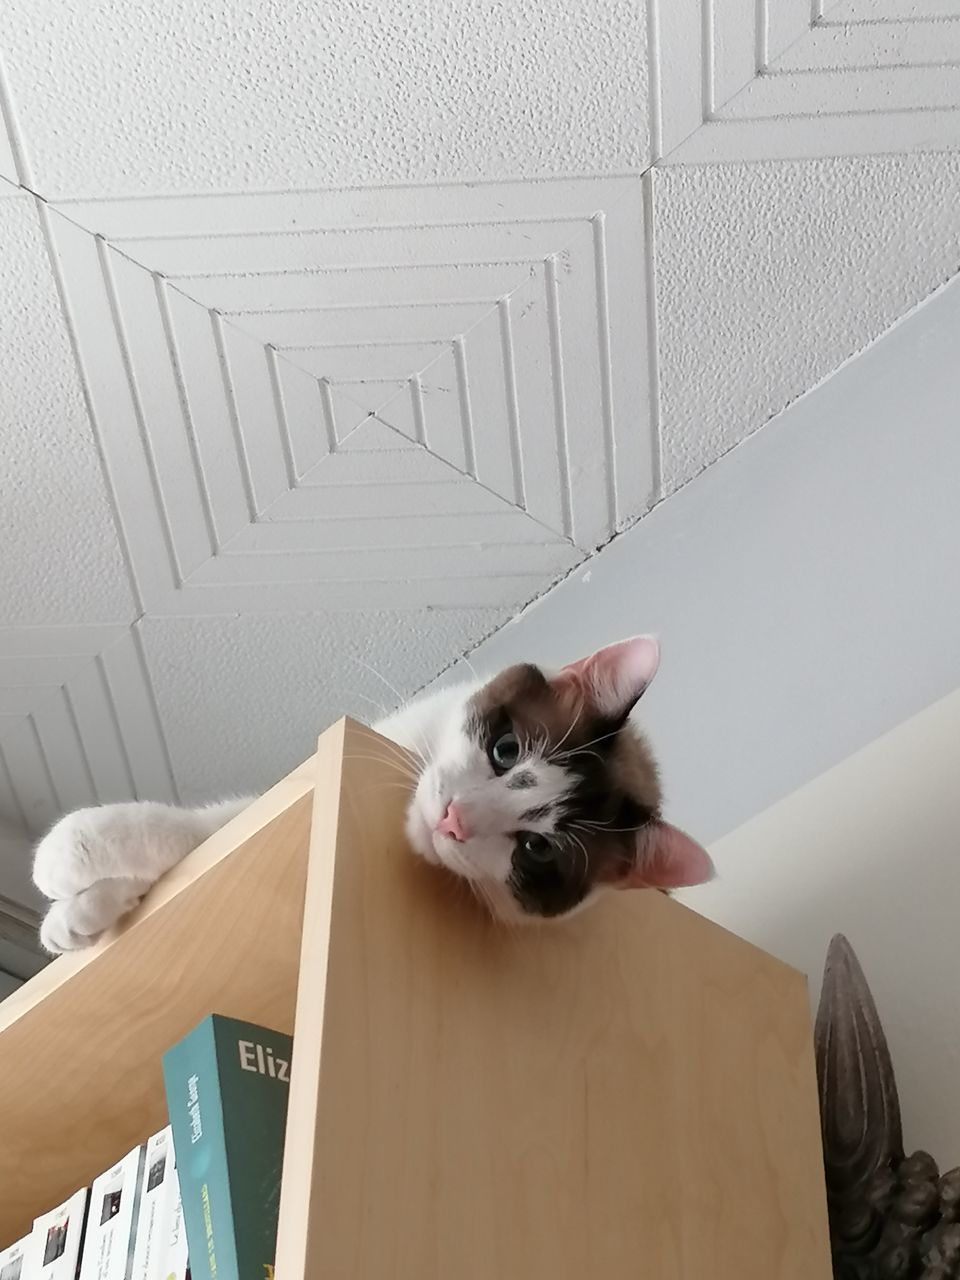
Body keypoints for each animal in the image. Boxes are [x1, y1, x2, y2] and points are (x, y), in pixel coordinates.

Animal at [32, 634, 716, 957]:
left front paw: (73, 859)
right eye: (506, 751)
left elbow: (196, 828)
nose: (453, 818)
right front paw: (80, 913)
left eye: (537, 851)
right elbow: (221, 821)